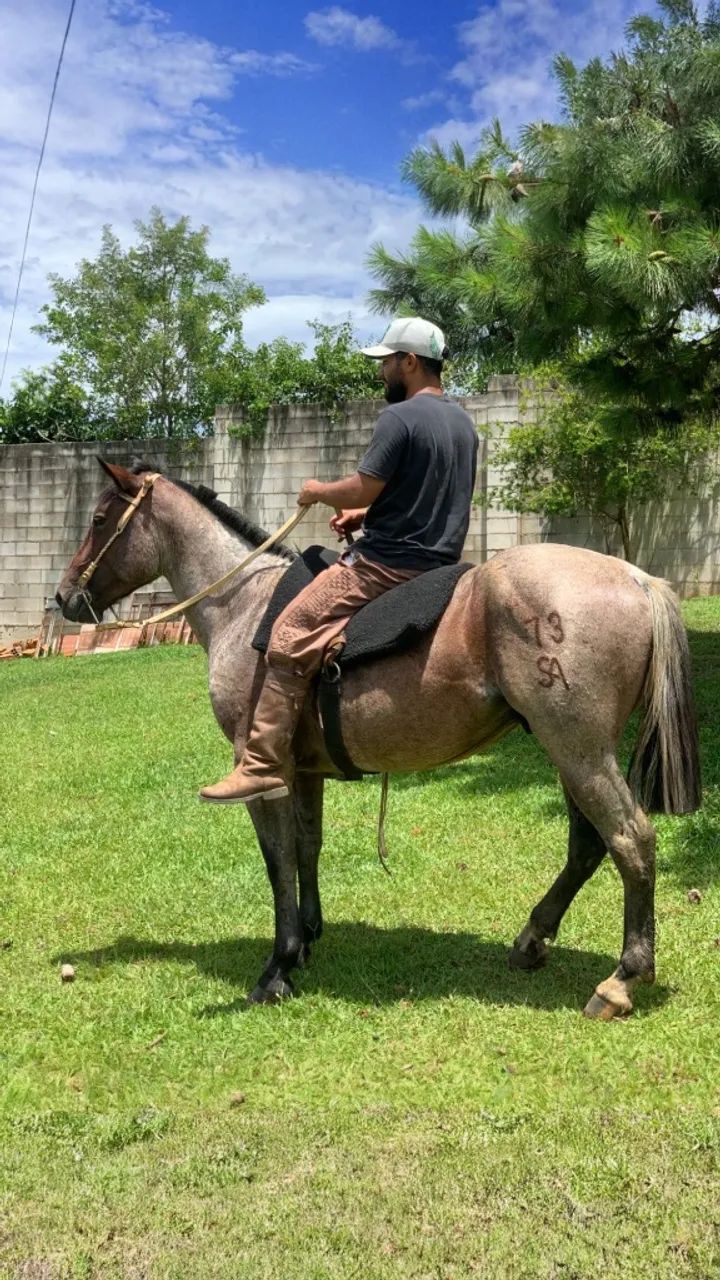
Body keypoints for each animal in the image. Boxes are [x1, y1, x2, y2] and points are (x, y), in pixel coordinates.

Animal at [56, 460, 701, 1020]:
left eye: (98, 520)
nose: (63, 598)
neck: (243, 604)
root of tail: (637, 578)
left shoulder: (263, 772)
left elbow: (277, 859)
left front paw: (278, 967)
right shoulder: (304, 770)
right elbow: (307, 847)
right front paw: (308, 938)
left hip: (578, 748)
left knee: (631, 839)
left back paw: (621, 980)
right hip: (570, 751)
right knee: (588, 846)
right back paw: (533, 940)